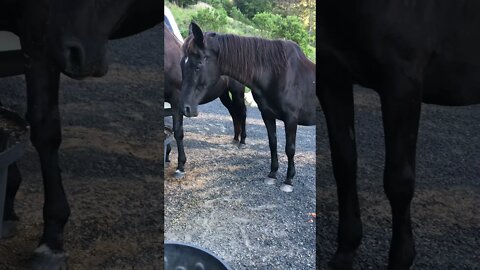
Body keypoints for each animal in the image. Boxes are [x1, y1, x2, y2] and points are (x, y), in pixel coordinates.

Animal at [165, 24, 248, 177]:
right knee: (233, 112)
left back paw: (243, 141)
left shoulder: (176, 102)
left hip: (237, 92)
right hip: (223, 94)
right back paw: (235, 138)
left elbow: (178, 132)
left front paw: (180, 166)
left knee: (242, 112)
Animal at [179, 22, 316, 192]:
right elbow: (272, 143)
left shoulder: (291, 118)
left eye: (197, 66)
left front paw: (288, 180)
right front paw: (272, 174)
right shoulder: (267, 115)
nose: (185, 108)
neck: (278, 73)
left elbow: (290, 149)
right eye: (181, 65)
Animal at [318, 1, 480, 268]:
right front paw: (346, 250)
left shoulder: (402, 85)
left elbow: (399, 181)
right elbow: (344, 165)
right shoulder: (333, 79)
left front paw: (401, 257)